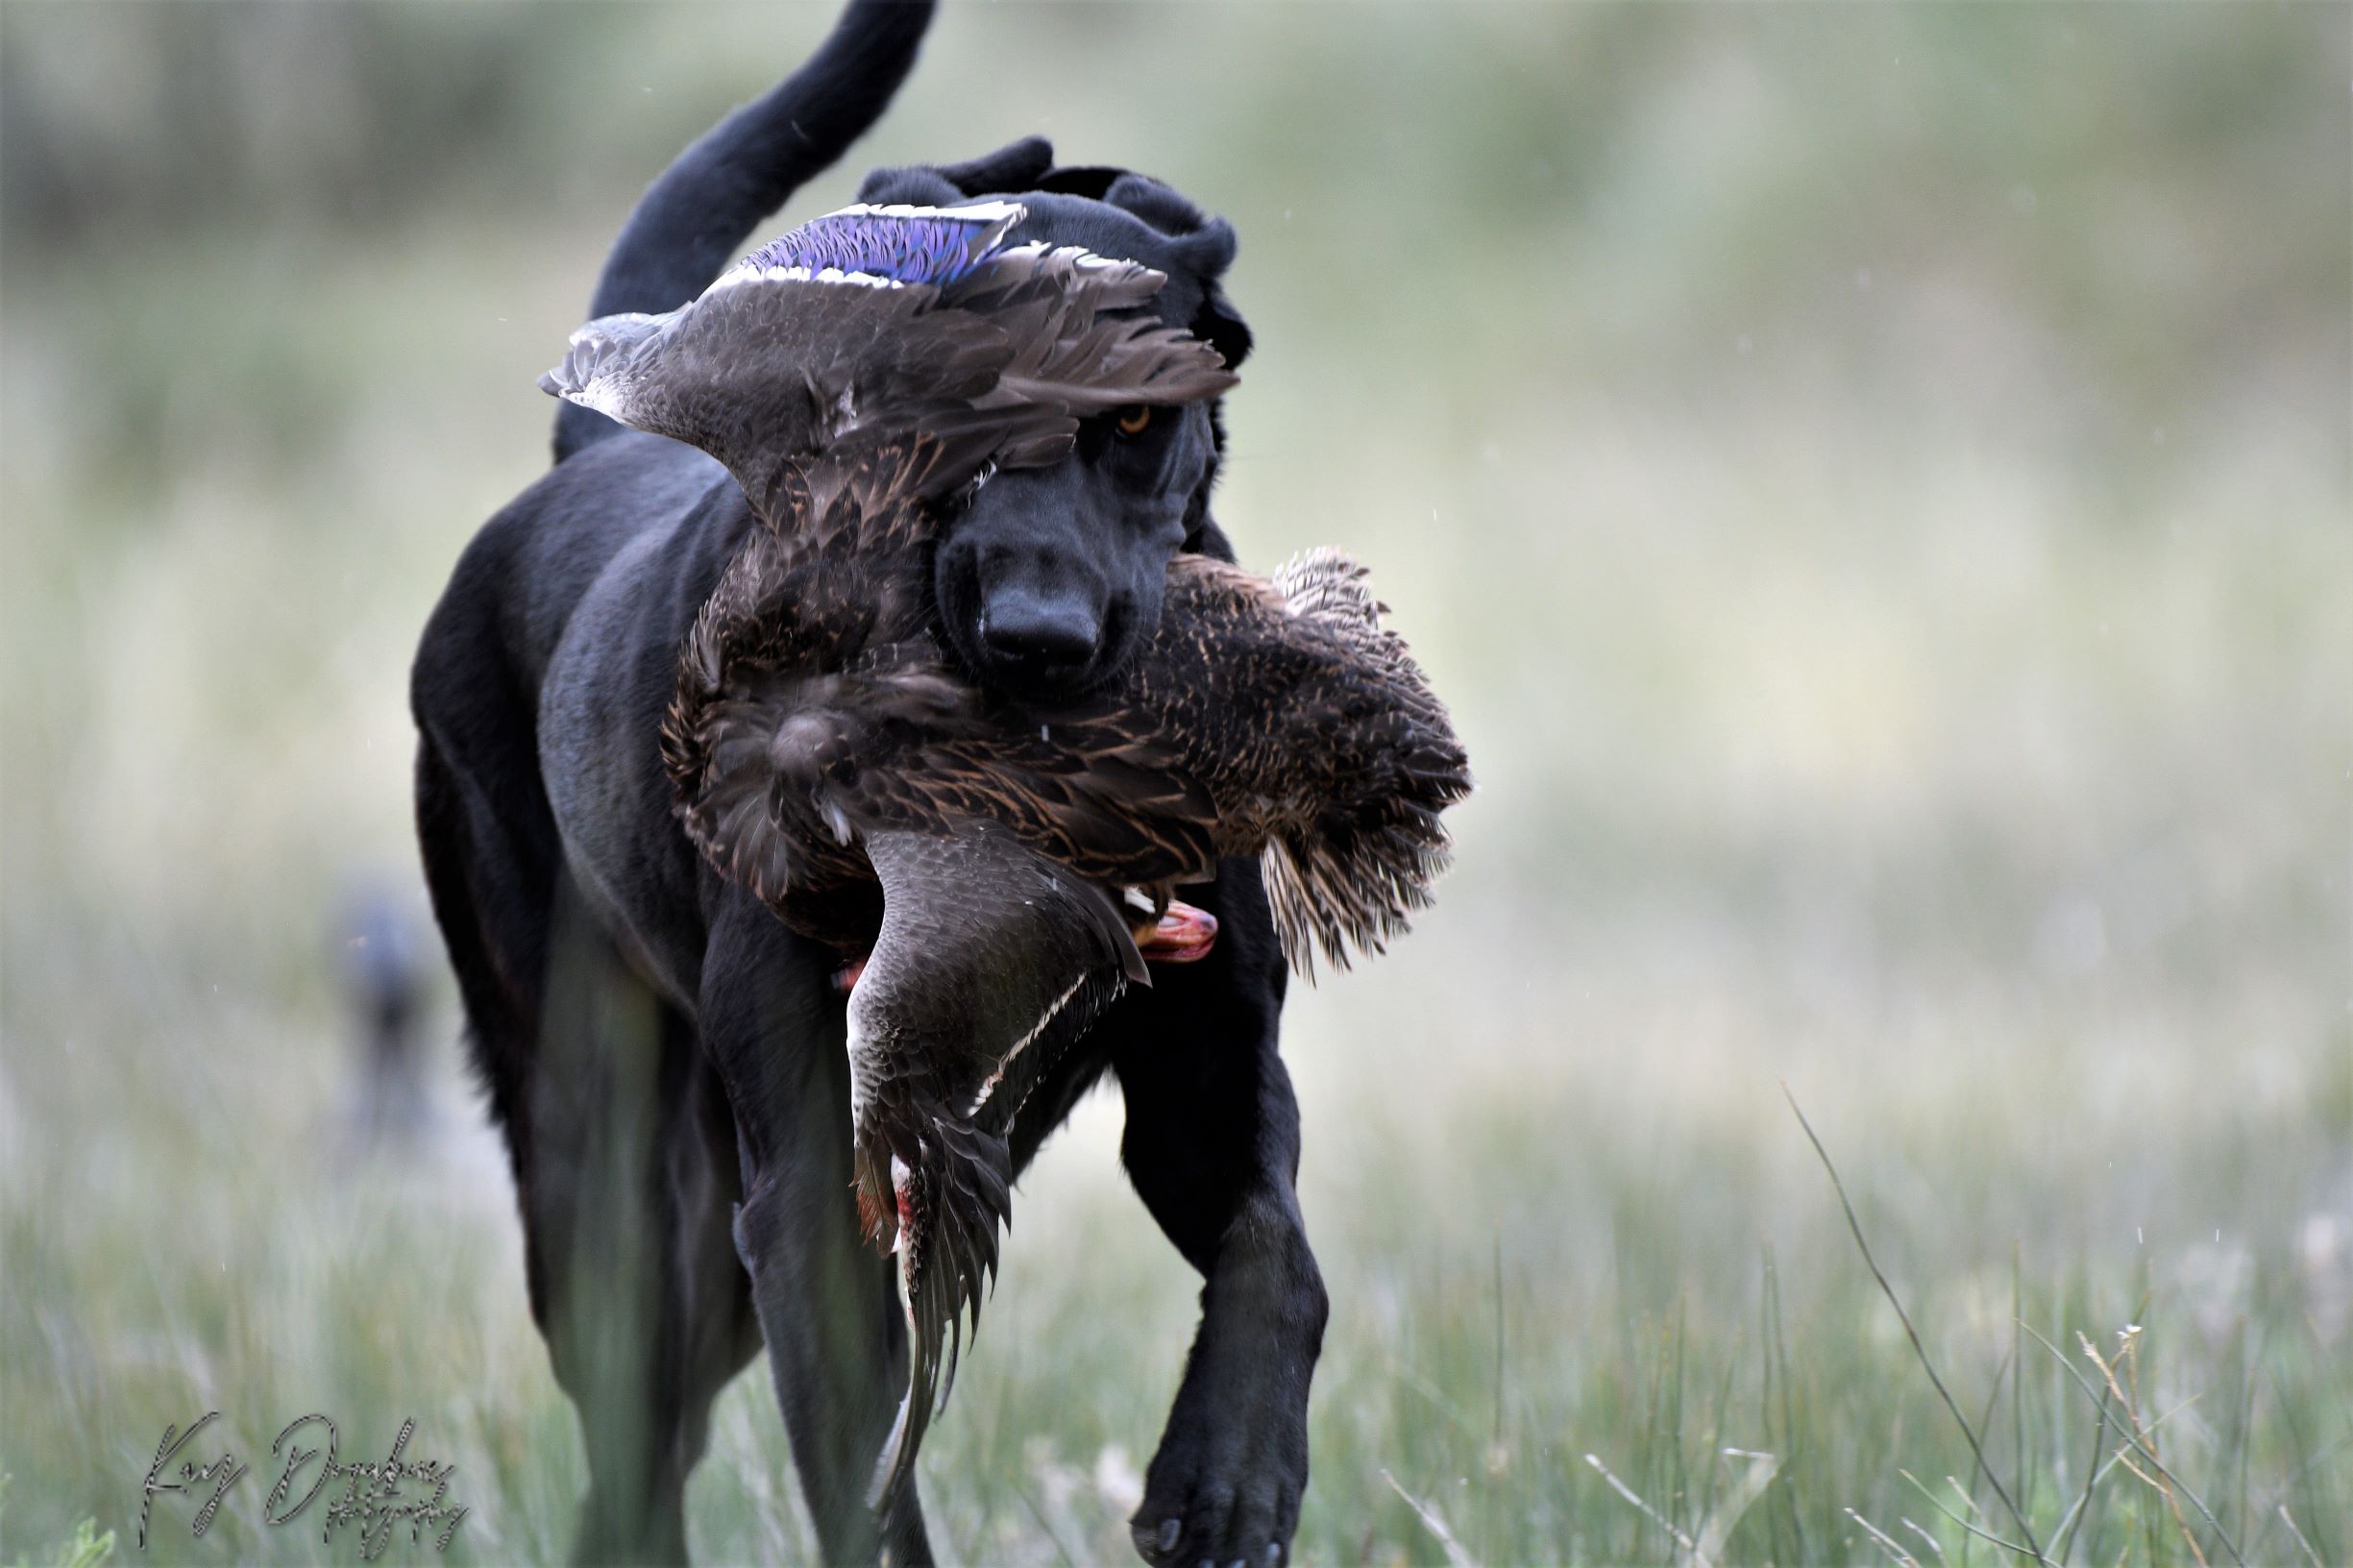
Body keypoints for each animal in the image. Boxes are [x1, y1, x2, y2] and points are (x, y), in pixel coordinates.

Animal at [406, 6, 1327, 1554]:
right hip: (609, 1174)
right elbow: (871, 1483)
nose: (1035, 640)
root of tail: (589, 450)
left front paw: (1226, 1480)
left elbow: (1277, 1252)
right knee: (631, 1425)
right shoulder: (808, 1207)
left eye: (1139, 422)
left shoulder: (1203, 1076)